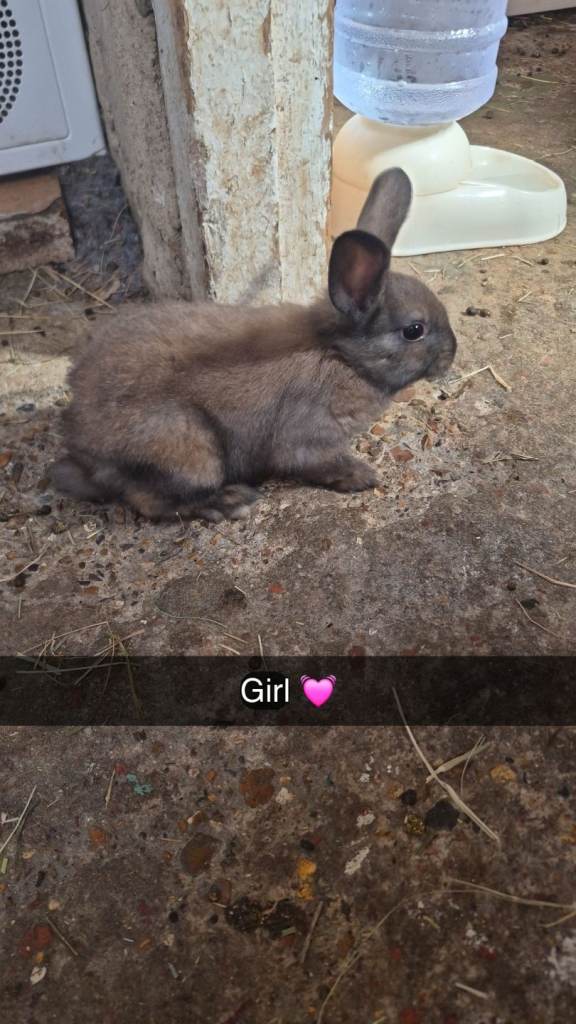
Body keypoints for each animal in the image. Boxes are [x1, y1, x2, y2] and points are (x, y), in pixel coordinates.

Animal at [51, 168, 457, 523]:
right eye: (414, 330)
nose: (452, 354)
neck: (343, 356)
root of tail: (82, 449)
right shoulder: (308, 439)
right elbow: (317, 463)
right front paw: (362, 477)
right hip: (190, 450)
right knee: (151, 501)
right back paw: (229, 502)